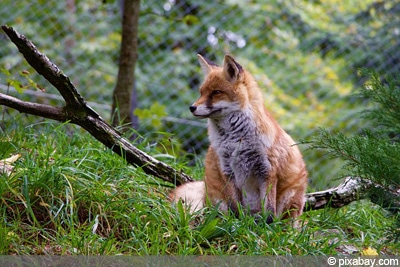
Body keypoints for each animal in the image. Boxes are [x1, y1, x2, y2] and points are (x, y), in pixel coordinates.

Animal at [170, 54, 308, 222]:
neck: (236, 140)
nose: (192, 107)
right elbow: (234, 207)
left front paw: (266, 226)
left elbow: (269, 211)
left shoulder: (267, 170)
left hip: (291, 199)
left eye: (216, 92)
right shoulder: (227, 170)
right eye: (201, 92)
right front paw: (236, 223)